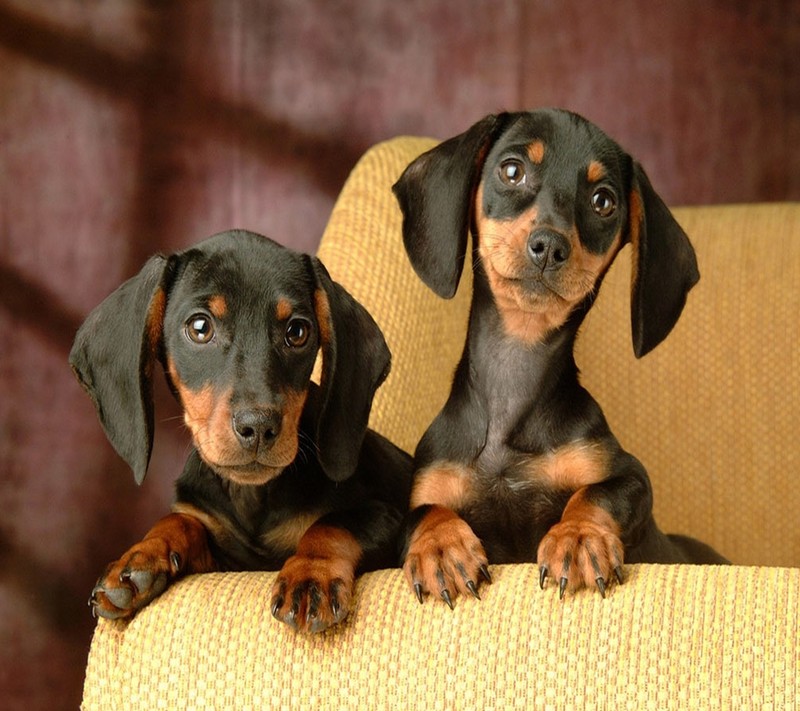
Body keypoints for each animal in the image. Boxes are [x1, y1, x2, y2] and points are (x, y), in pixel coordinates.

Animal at [392, 108, 724, 608]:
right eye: (512, 170)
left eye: (603, 201)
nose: (549, 246)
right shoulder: (427, 484)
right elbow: (422, 512)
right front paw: (440, 547)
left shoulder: (631, 477)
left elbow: (595, 495)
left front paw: (578, 538)